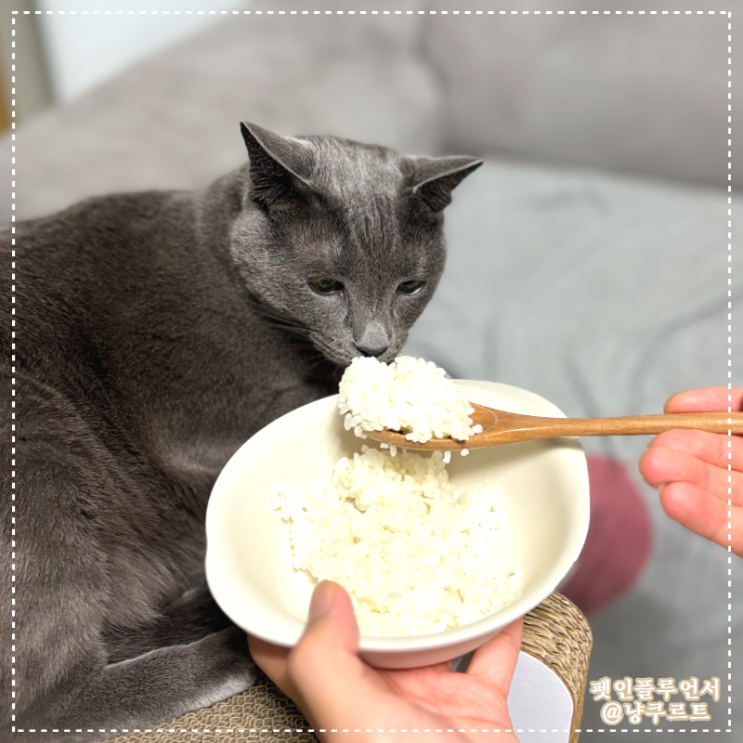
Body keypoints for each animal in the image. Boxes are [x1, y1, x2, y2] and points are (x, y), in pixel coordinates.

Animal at [0, 122, 481, 741]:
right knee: (40, 703)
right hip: (41, 443)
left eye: (410, 286)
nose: (373, 345)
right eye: (324, 284)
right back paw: (233, 649)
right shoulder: (197, 419)